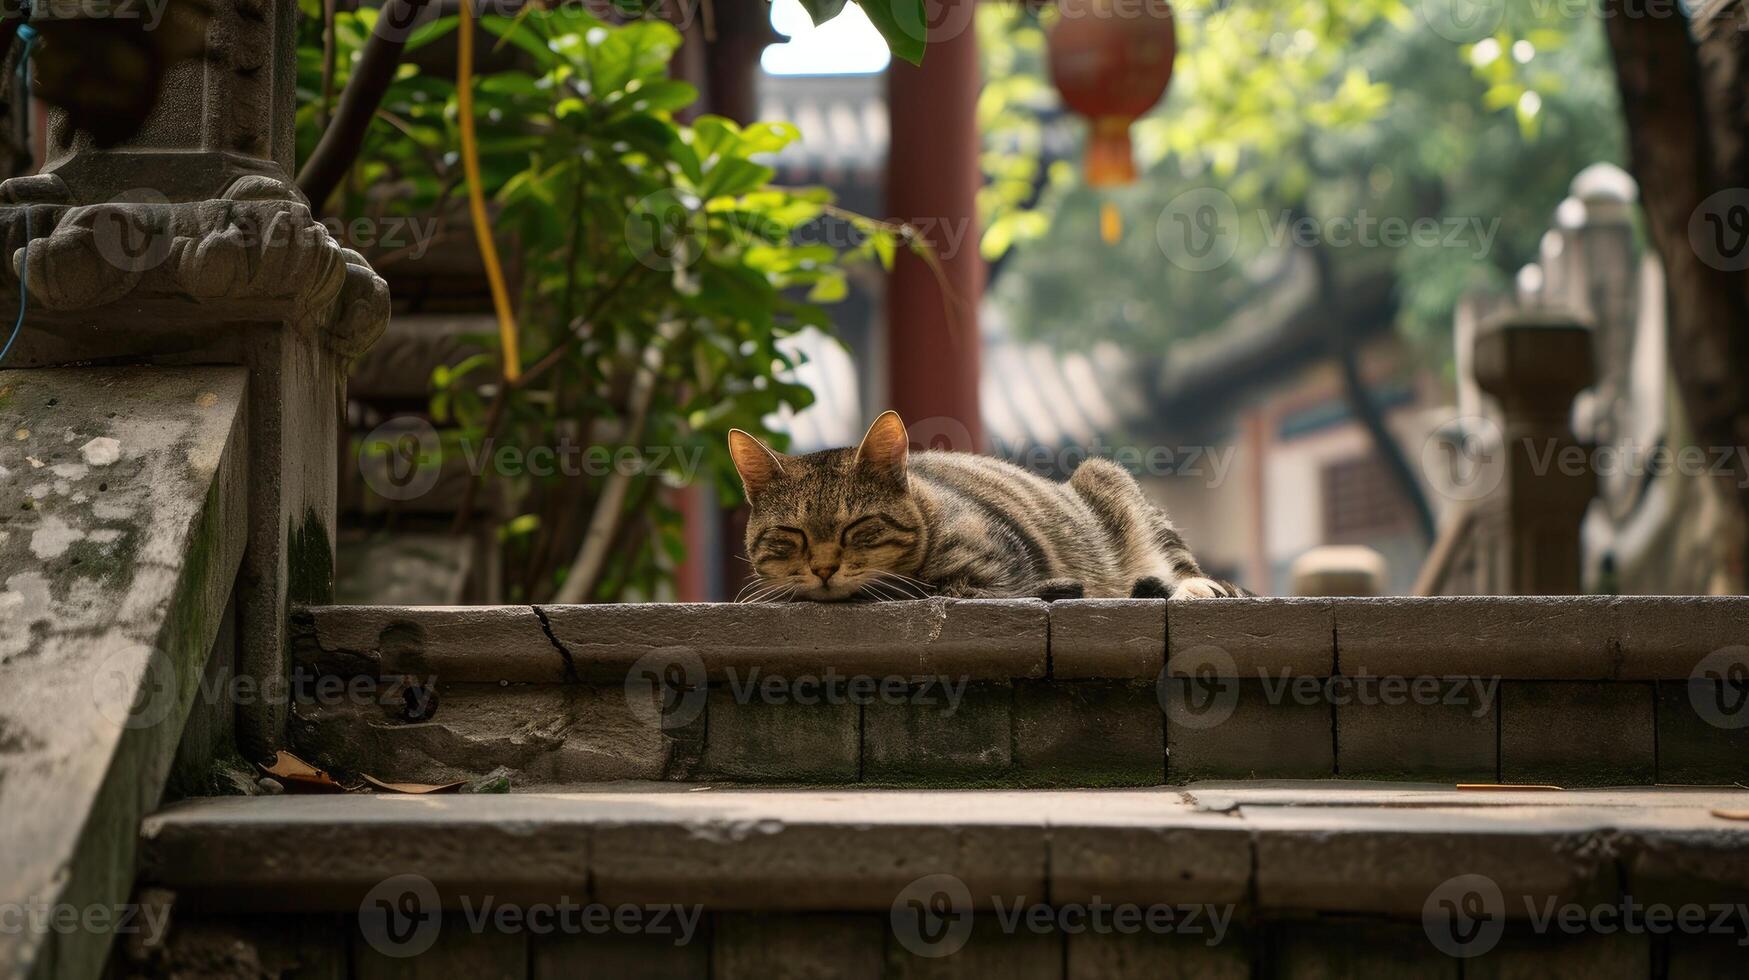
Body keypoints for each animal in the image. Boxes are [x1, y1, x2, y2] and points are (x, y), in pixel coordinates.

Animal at [727, 409, 1245, 602]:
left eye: (858, 527)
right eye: (791, 535)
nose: (823, 568)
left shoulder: (996, 573)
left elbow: (949, 590)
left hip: (1106, 478)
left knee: (1186, 569)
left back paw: (1195, 587)